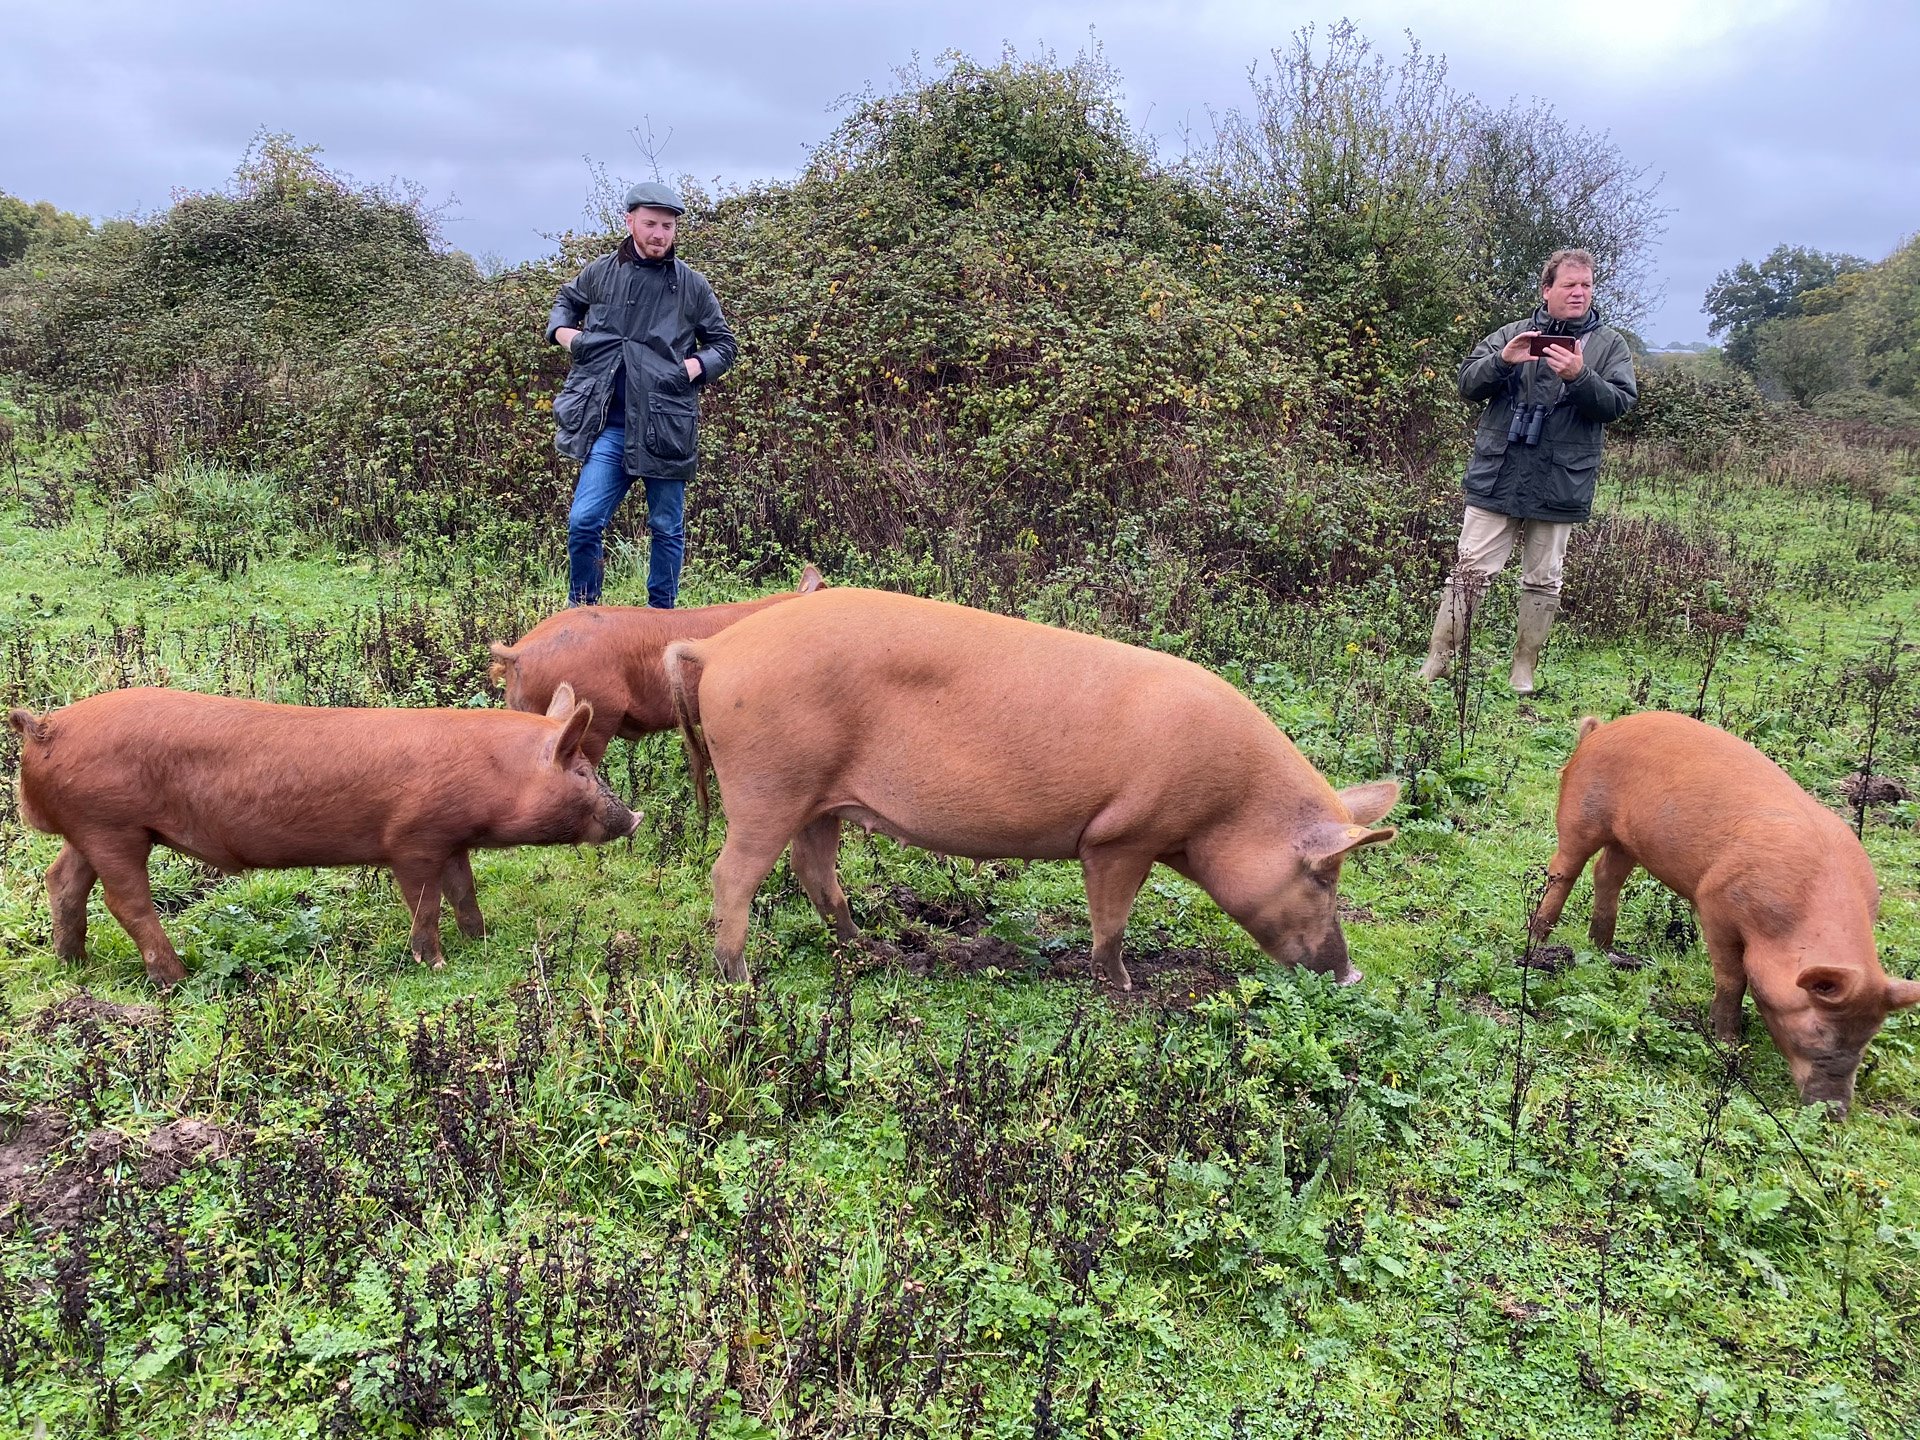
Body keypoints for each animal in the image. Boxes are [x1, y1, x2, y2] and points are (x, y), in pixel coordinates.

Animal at [7, 683, 637, 990]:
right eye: (583, 771)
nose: (633, 817)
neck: (494, 774)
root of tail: (45, 727)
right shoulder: (413, 838)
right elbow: (426, 903)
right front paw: (434, 965)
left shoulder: (452, 840)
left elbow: (465, 892)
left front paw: (481, 941)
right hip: (111, 825)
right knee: (126, 900)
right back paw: (175, 979)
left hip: (88, 831)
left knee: (62, 882)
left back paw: (73, 964)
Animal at [668, 591, 1405, 990]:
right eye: (1323, 877)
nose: (1351, 974)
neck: (1227, 806)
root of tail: (719, 649)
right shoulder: (1121, 836)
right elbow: (1111, 918)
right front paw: (1124, 985)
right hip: (767, 783)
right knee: (731, 874)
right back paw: (739, 979)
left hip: (820, 798)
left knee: (813, 871)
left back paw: (875, 950)